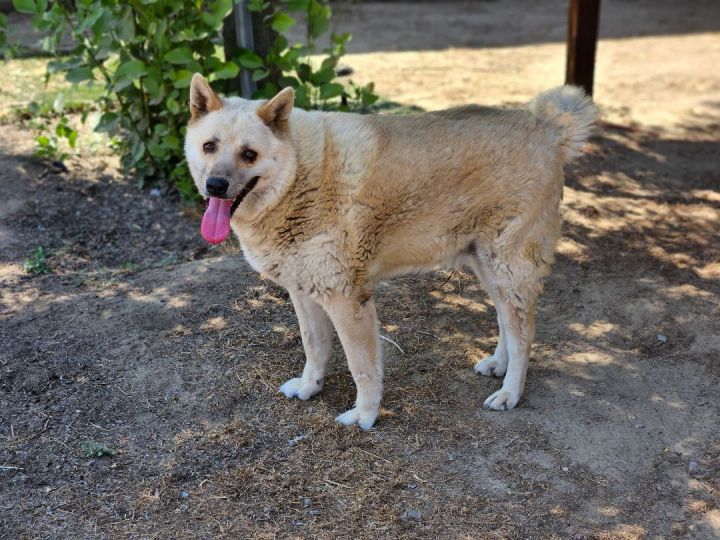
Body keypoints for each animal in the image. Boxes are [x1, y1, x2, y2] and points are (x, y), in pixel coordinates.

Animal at [184, 74, 596, 430]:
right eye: (209, 146)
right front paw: (309, 387)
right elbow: (314, 347)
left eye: (249, 154)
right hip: (489, 268)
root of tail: (547, 129)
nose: (215, 185)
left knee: (523, 333)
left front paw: (365, 415)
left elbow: (362, 367)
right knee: (506, 323)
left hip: (508, 267)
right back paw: (499, 364)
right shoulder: (304, 294)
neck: (300, 172)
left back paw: (511, 391)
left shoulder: (349, 301)